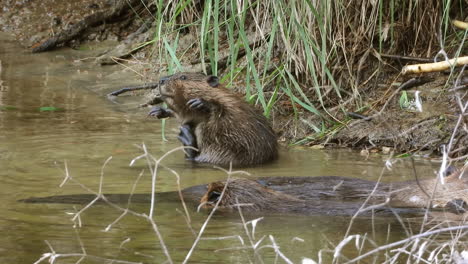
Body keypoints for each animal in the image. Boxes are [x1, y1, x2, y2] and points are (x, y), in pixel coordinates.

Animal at [146, 72, 278, 166]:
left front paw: (201, 103)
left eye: (183, 77)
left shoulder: (234, 109)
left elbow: (224, 114)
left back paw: (185, 135)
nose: (161, 80)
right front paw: (157, 111)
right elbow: (182, 115)